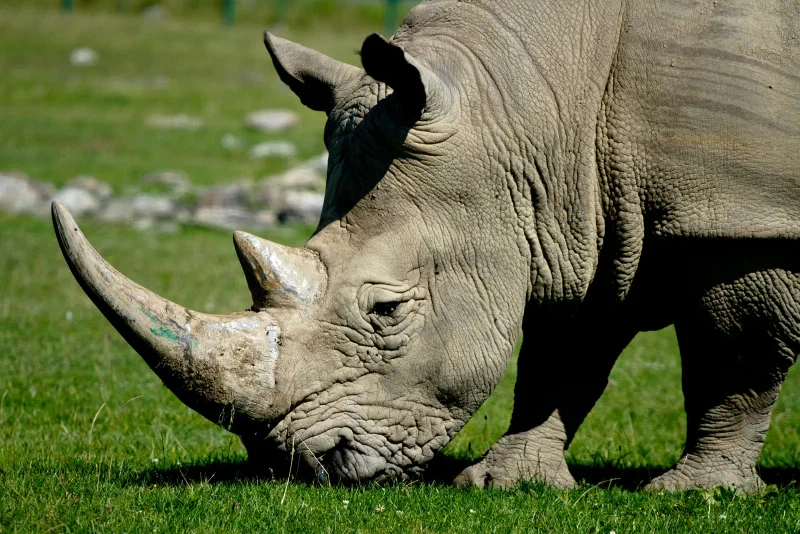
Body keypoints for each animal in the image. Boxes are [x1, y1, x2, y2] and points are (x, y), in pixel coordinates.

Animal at [53, 0, 799, 491]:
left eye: (386, 311)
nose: (299, 467)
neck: (534, 105)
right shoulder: (577, 219)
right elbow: (562, 356)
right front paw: (508, 483)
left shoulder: (745, 218)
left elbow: (736, 359)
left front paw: (699, 492)